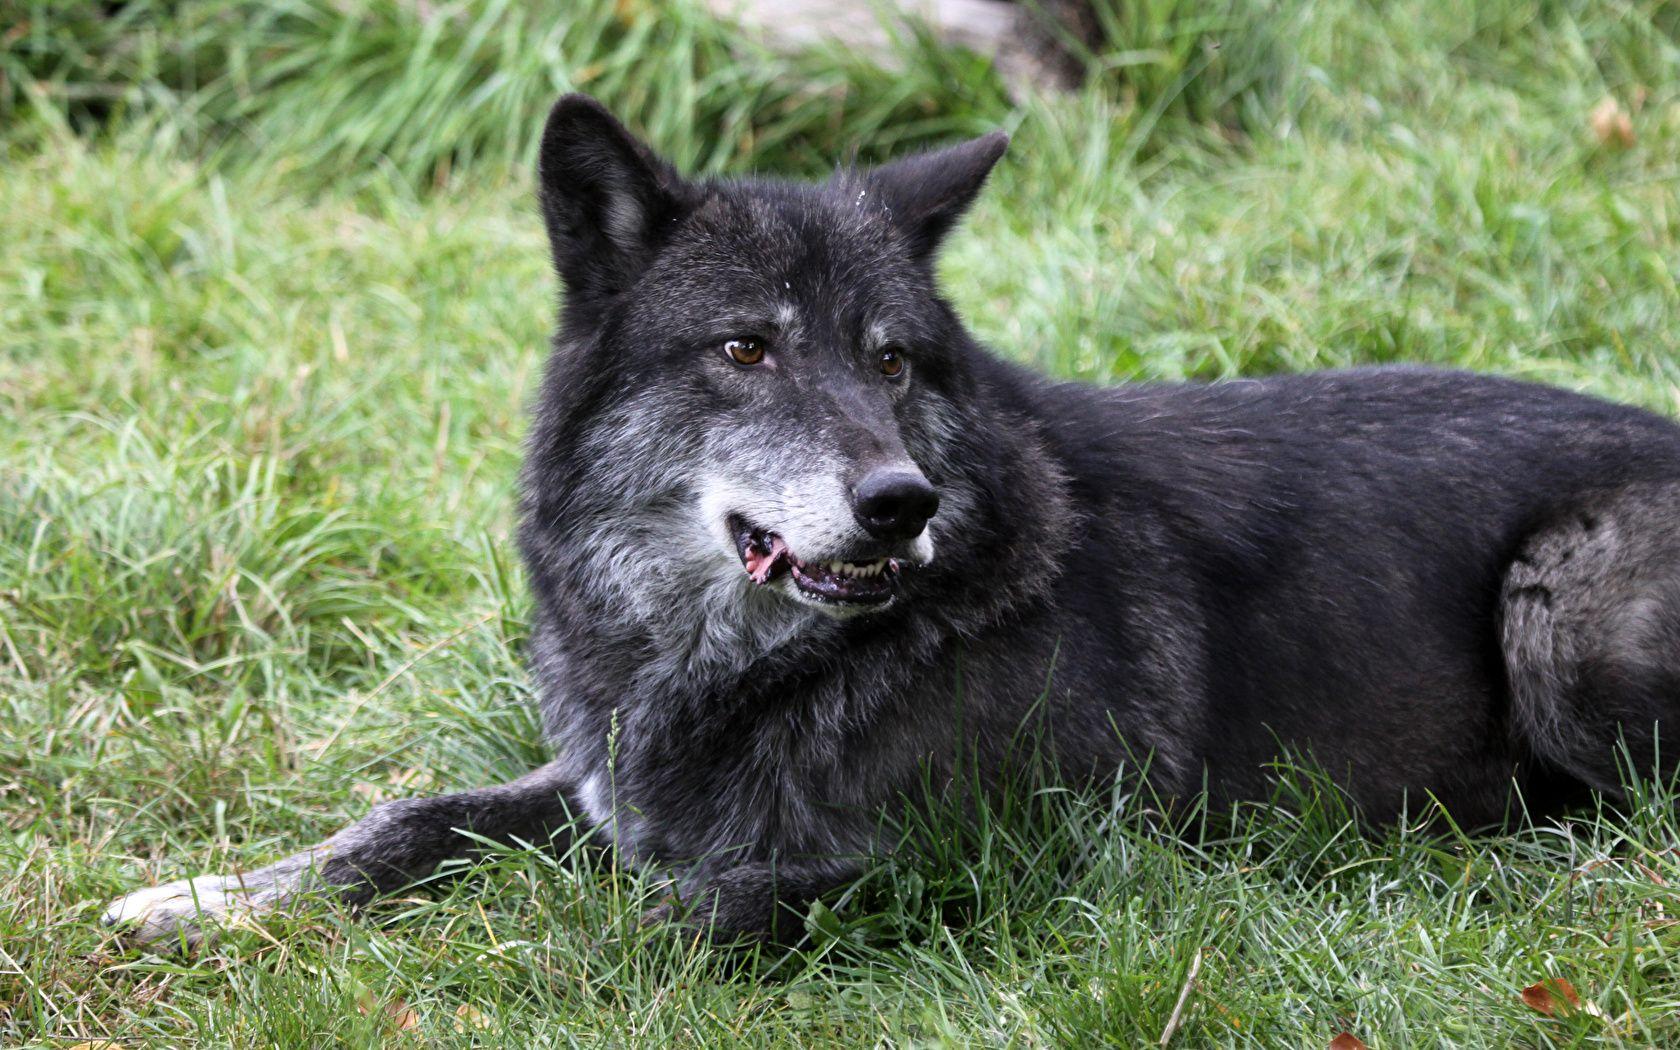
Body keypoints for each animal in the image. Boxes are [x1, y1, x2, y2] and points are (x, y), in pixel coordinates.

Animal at [105, 95, 1680, 944]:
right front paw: (208, 897)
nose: (898, 500)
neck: (743, 668)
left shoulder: (1004, 864)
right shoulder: (611, 785)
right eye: (746, 348)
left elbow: (654, 914)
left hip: (1558, 607)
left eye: (892, 362)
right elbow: (404, 818)